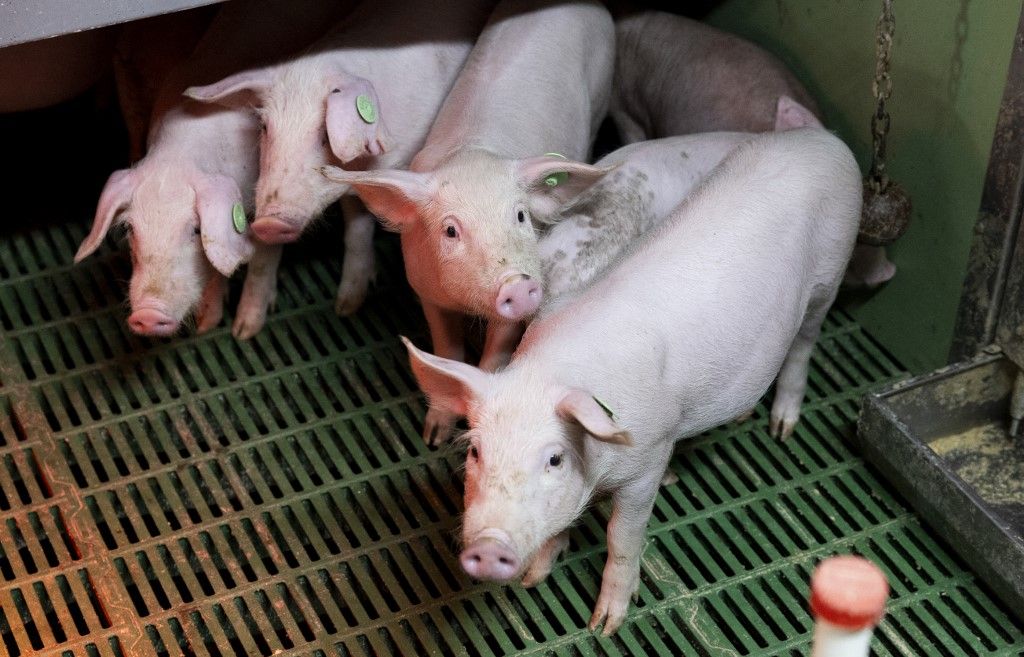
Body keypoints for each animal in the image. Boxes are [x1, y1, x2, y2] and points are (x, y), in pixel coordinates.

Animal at [75, 0, 352, 339]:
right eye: (130, 230)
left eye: (195, 230)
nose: (147, 315)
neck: (181, 153)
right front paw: (206, 326)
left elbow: (261, 258)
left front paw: (242, 331)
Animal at [320, 0, 616, 445]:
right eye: (451, 230)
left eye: (520, 215)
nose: (518, 285)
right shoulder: (425, 287)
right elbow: (447, 347)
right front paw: (433, 436)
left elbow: (495, 355)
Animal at [402, 128, 862, 635]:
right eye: (476, 452)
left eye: (555, 459)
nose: (487, 547)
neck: (551, 373)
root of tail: (823, 138)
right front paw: (535, 578)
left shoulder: (650, 455)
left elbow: (622, 534)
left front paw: (604, 625)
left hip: (831, 275)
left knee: (803, 344)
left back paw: (782, 428)